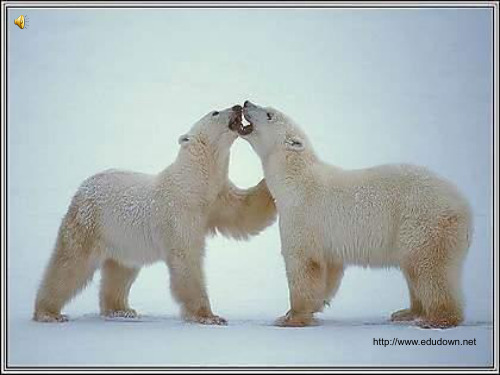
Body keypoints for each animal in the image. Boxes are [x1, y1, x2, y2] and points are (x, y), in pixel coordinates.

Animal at [34, 104, 278, 324]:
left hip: (123, 238)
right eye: (215, 112)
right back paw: (48, 313)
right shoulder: (180, 211)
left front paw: (269, 184)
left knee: (120, 271)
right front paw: (209, 316)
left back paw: (121, 310)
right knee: (70, 264)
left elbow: (243, 212)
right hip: (89, 223)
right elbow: (186, 258)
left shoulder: (216, 199)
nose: (237, 106)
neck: (193, 182)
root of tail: (82, 188)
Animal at [237, 100, 472, 328]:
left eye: (269, 114)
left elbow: (303, 263)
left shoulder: (303, 215)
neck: (295, 181)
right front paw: (311, 307)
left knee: (428, 268)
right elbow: (329, 271)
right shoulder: (328, 239)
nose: (246, 102)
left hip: (424, 222)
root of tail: (464, 205)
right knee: (414, 269)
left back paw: (436, 319)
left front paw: (291, 318)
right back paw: (407, 312)